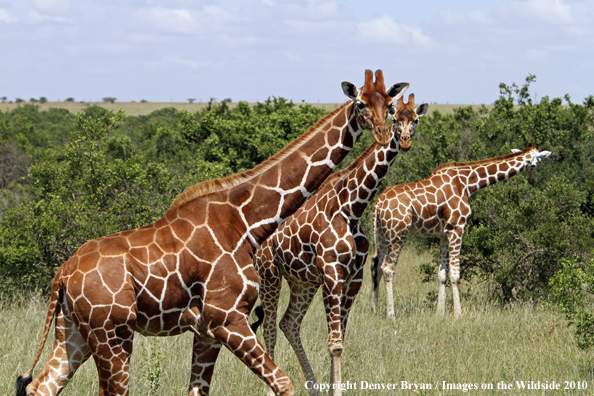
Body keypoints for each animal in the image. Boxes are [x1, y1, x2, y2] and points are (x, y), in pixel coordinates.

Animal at [13, 69, 404, 396]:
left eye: (389, 106)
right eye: (360, 103)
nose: (385, 133)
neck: (246, 221)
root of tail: (63, 274)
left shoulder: (207, 331)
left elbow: (198, 391)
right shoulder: (228, 318)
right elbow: (283, 383)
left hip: (74, 333)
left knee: (39, 387)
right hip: (112, 335)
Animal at [251, 93, 426, 396]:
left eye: (415, 119)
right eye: (395, 119)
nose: (404, 141)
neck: (352, 207)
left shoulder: (353, 277)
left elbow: (340, 338)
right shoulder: (332, 273)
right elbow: (334, 344)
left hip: (302, 281)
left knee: (289, 323)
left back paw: (313, 387)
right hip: (269, 273)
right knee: (270, 329)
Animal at [370, 144, 552, 320]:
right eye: (534, 164)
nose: (532, 180)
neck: (467, 183)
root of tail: (378, 204)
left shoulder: (443, 234)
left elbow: (442, 274)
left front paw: (440, 313)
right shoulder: (457, 227)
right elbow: (456, 275)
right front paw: (458, 314)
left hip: (381, 234)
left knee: (376, 266)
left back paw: (375, 310)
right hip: (398, 233)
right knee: (388, 269)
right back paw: (391, 314)